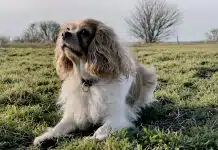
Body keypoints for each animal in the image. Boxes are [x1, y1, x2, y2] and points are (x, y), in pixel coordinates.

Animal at [33, 18, 158, 146]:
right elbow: (58, 127)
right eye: (68, 29)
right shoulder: (74, 116)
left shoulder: (117, 119)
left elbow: (101, 130)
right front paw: (46, 137)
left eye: (84, 32)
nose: (64, 34)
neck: (89, 82)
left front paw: (90, 139)